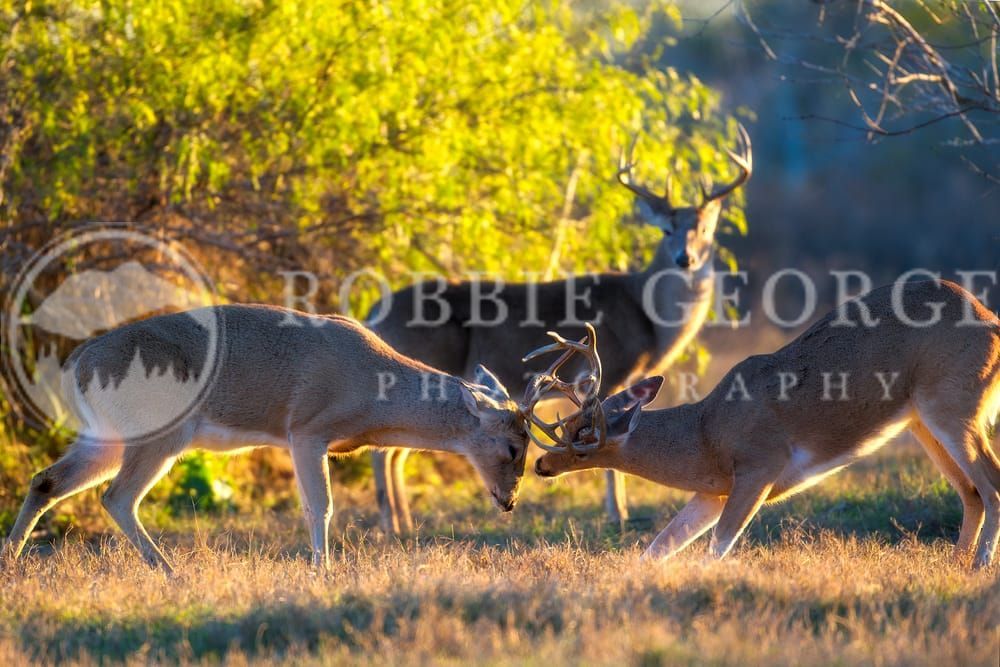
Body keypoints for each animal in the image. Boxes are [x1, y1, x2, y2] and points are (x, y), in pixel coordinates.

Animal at [2, 304, 530, 572]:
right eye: (512, 447)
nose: (508, 501)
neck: (371, 391)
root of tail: (78, 364)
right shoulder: (306, 428)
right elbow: (320, 506)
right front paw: (323, 572)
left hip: (106, 436)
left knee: (46, 480)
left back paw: (11, 559)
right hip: (159, 432)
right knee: (117, 497)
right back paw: (169, 570)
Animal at [369, 126, 752, 535]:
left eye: (706, 230)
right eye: (666, 230)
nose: (686, 258)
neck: (647, 316)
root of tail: (375, 310)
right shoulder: (608, 370)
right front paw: (618, 514)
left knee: (395, 449)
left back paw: (402, 524)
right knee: (387, 450)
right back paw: (393, 524)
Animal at [527, 280, 1000, 570]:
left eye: (582, 436)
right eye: (567, 423)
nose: (541, 465)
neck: (705, 436)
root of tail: (991, 321)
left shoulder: (761, 465)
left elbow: (717, 546)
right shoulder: (713, 489)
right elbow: (660, 545)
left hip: (953, 404)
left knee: (990, 483)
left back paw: (978, 568)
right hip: (922, 421)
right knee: (972, 493)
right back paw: (956, 565)